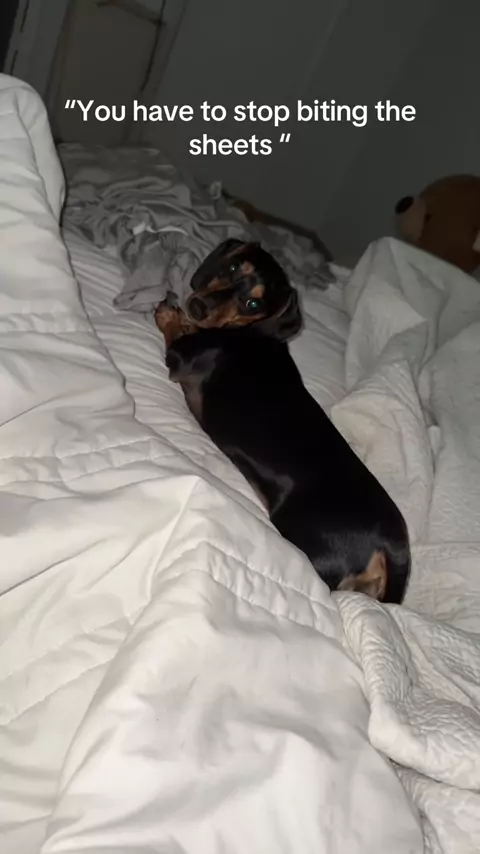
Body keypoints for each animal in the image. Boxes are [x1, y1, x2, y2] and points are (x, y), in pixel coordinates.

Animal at [154, 245, 411, 604]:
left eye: (254, 305)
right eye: (233, 267)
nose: (198, 306)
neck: (244, 331)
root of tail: (392, 545)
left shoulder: (181, 358)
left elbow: (175, 332)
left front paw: (169, 314)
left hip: (311, 552)